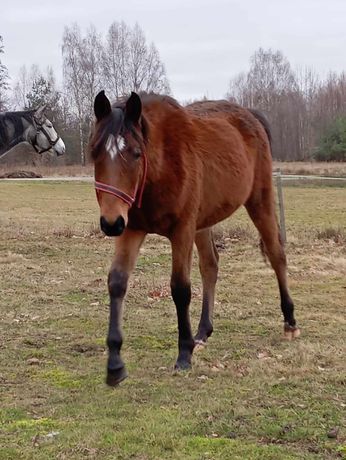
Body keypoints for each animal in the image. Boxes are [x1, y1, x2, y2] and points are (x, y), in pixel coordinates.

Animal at [89, 90, 300, 384]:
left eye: (135, 153)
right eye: (95, 152)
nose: (110, 223)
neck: (161, 168)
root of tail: (250, 116)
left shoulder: (182, 231)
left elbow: (180, 289)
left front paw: (183, 354)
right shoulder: (132, 229)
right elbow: (117, 282)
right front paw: (115, 364)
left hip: (260, 202)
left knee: (276, 254)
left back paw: (290, 322)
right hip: (204, 222)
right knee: (210, 265)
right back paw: (203, 331)